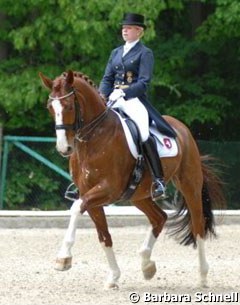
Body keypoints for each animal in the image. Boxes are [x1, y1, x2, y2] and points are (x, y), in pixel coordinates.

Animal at [39, 69, 225, 288]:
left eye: (68, 106)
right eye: (50, 107)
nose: (64, 148)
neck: (94, 137)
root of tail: (181, 128)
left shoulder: (108, 189)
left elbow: (76, 208)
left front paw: (63, 258)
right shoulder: (89, 195)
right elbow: (104, 236)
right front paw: (113, 277)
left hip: (190, 185)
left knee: (198, 225)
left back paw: (203, 276)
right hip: (139, 195)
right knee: (160, 218)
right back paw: (147, 265)